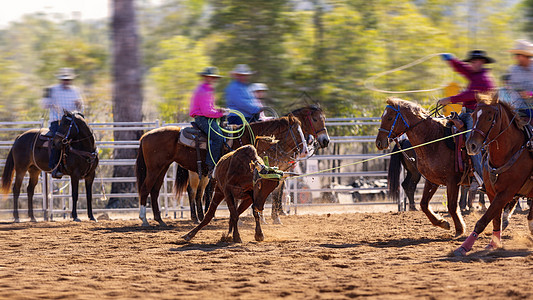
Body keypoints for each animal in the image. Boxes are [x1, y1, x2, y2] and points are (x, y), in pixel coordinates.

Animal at [133, 113, 308, 226]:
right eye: (296, 132)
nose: (305, 151)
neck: (242, 139)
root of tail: (145, 136)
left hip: (162, 168)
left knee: (156, 190)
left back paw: (160, 219)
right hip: (156, 169)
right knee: (146, 188)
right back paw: (144, 219)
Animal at [374, 98, 466, 237]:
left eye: (389, 118)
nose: (379, 142)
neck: (435, 139)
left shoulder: (450, 180)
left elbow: (449, 205)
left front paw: (456, 227)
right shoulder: (436, 180)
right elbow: (426, 204)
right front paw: (446, 223)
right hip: (414, 172)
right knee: (408, 185)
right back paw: (413, 207)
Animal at [454, 96, 532, 255]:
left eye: (489, 118)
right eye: (473, 116)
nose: (471, 145)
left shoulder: (506, 193)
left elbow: (483, 221)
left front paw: (464, 247)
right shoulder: (491, 192)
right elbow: (495, 219)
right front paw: (494, 244)